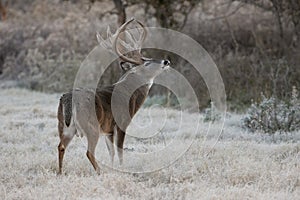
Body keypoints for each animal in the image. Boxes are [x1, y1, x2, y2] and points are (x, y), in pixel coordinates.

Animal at [56, 18, 169, 175]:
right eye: (146, 62)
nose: (166, 61)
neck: (128, 94)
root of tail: (67, 99)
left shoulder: (108, 129)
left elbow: (111, 152)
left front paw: (114, 168)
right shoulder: (121, 122)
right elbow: (120, 150)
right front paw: (122, 169)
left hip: (64, 126)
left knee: (60, 147)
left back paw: (60, 173)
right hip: (91, 126)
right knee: (89, 152)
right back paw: (99, 172)